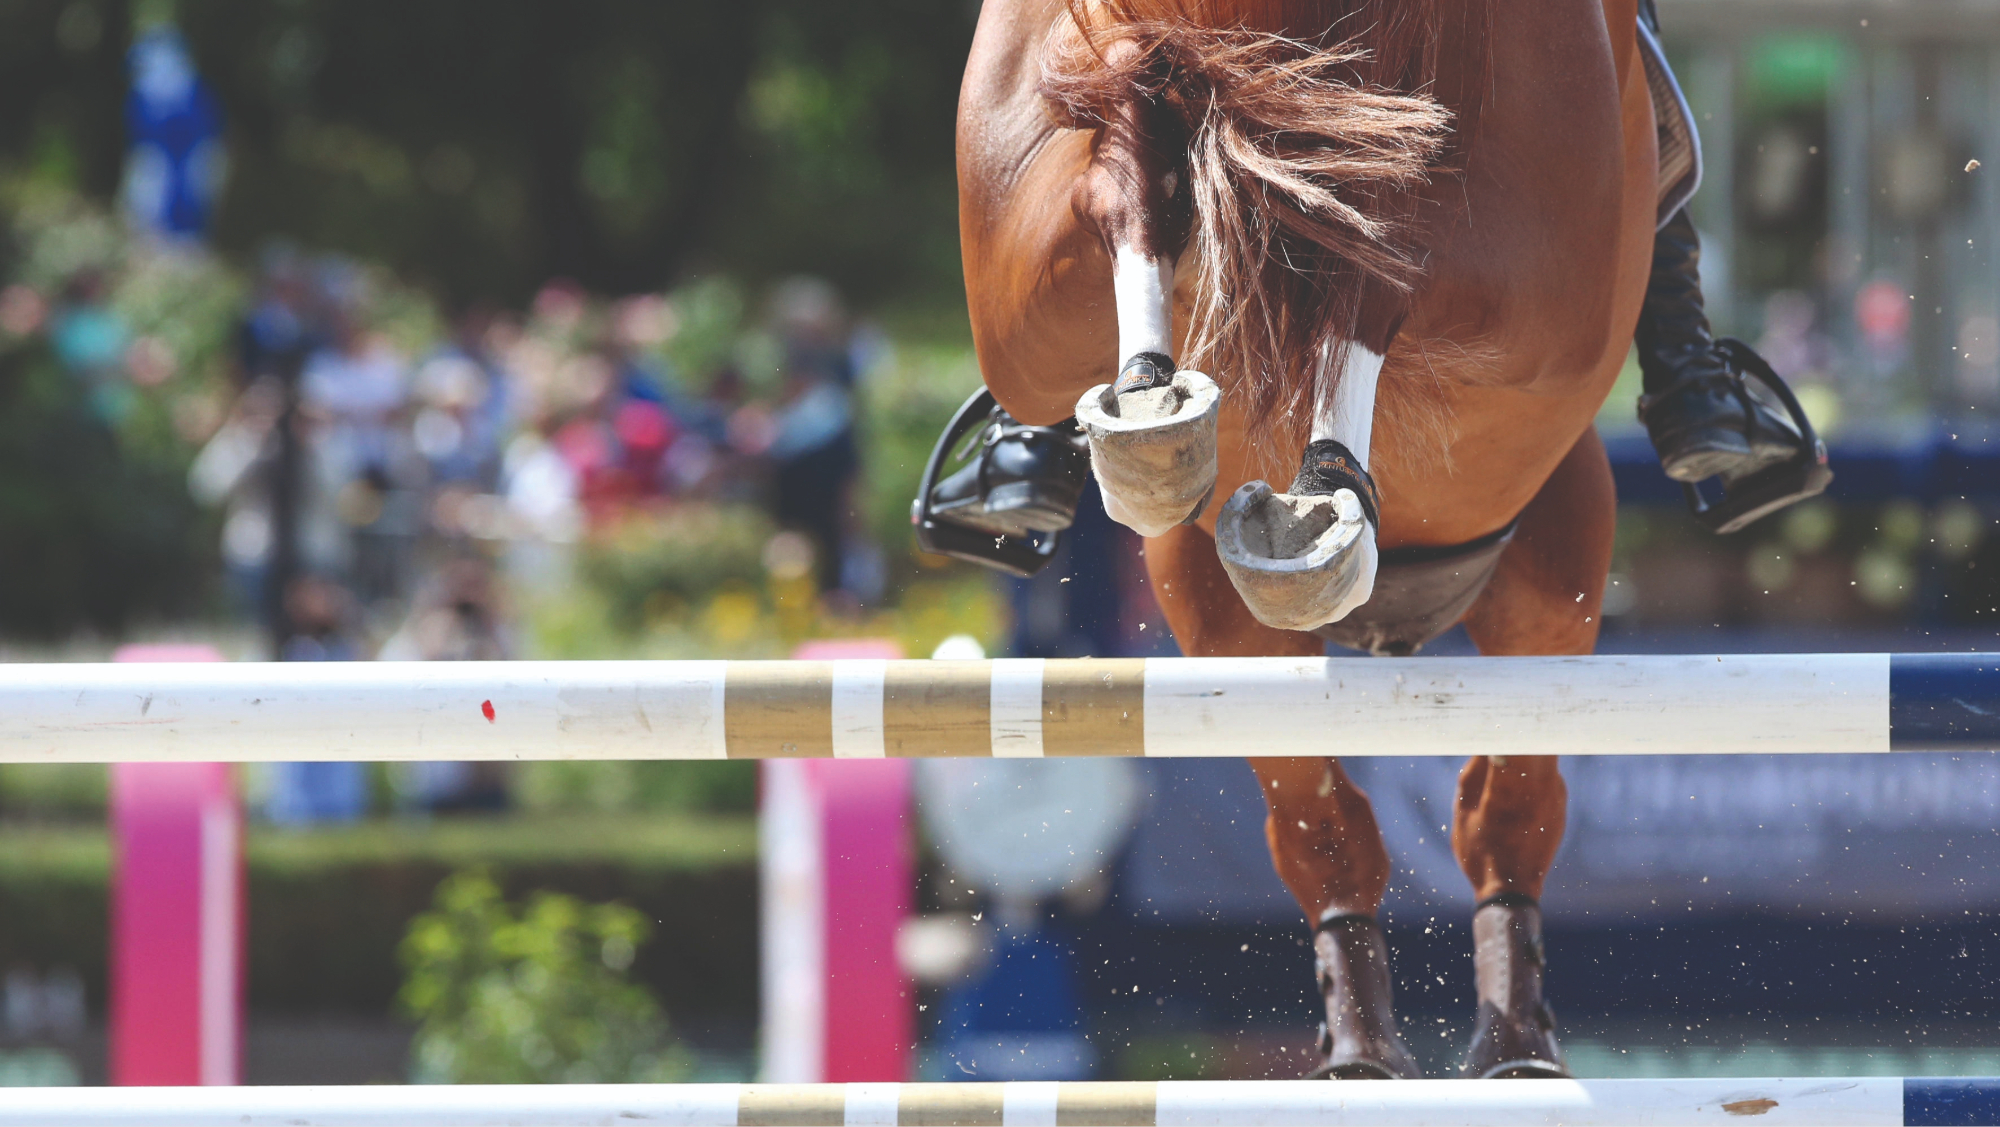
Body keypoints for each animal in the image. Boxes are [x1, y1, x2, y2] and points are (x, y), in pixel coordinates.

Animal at [957, 0, 1656, 1077]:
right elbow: (1127, 166)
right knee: (1320, 824)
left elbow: (1371, 228)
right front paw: (1151, 396)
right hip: (1216, 616)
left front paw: (1318, 478)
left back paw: (1513, 1045)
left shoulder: (1532, 294)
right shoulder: (1021, 294)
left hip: (1555, 573)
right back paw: (1361, 1048)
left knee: (1505, 808)